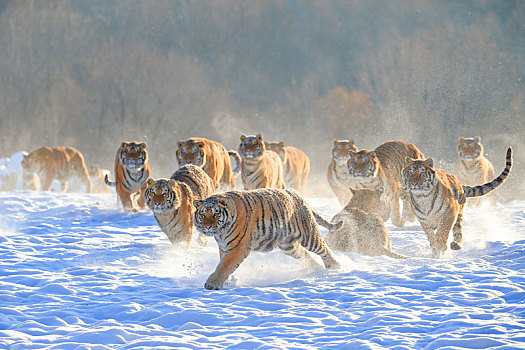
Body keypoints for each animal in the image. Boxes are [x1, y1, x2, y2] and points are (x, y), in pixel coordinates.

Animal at [192, 189, 340, 290]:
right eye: (203, 214)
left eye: (215, 214)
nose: (207, 226)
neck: (220, 232)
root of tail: (295, 193)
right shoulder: (224, 247)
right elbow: (224, 263)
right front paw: (229, 281)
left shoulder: (237, 247)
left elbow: (224, 265)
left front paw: (212, 284)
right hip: (288, 246)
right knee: (304, 254)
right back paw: (316, 269)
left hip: (308, 235)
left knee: (323, 248)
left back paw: (334, 266)